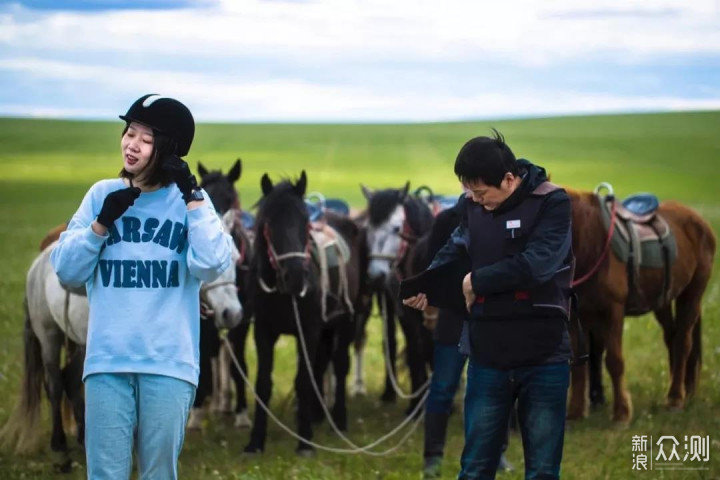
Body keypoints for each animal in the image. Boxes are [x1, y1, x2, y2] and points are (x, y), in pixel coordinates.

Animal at [245, 172, 360, 454]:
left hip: (346, 321)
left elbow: (303, 381)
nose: (296, 276)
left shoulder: (307, 330)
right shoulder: (263, 331)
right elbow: (263, 384)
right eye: (269, 223)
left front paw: (305, 440)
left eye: (305, 222)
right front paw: (255, 441)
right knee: (321, 363)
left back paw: (338, 421)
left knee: (340, 364)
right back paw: (318, 415)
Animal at [360, 182, 434, 414]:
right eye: (368, 228)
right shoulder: (406, 314)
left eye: (396, 228)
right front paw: (415, 405)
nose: (375, 276)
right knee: (391, 341)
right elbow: (415, 349)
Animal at [568, 189, 716, 422]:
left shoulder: (613, 311)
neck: (590, 242)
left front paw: (621, 413)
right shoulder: (578, 316)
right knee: (672, 338)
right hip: (663, 301)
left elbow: (614, 360)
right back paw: (682, 389)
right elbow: (579, 364)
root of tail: (698, 220)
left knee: (683, 342)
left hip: (692, 294)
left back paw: (675, 398)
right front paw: (575, 412)